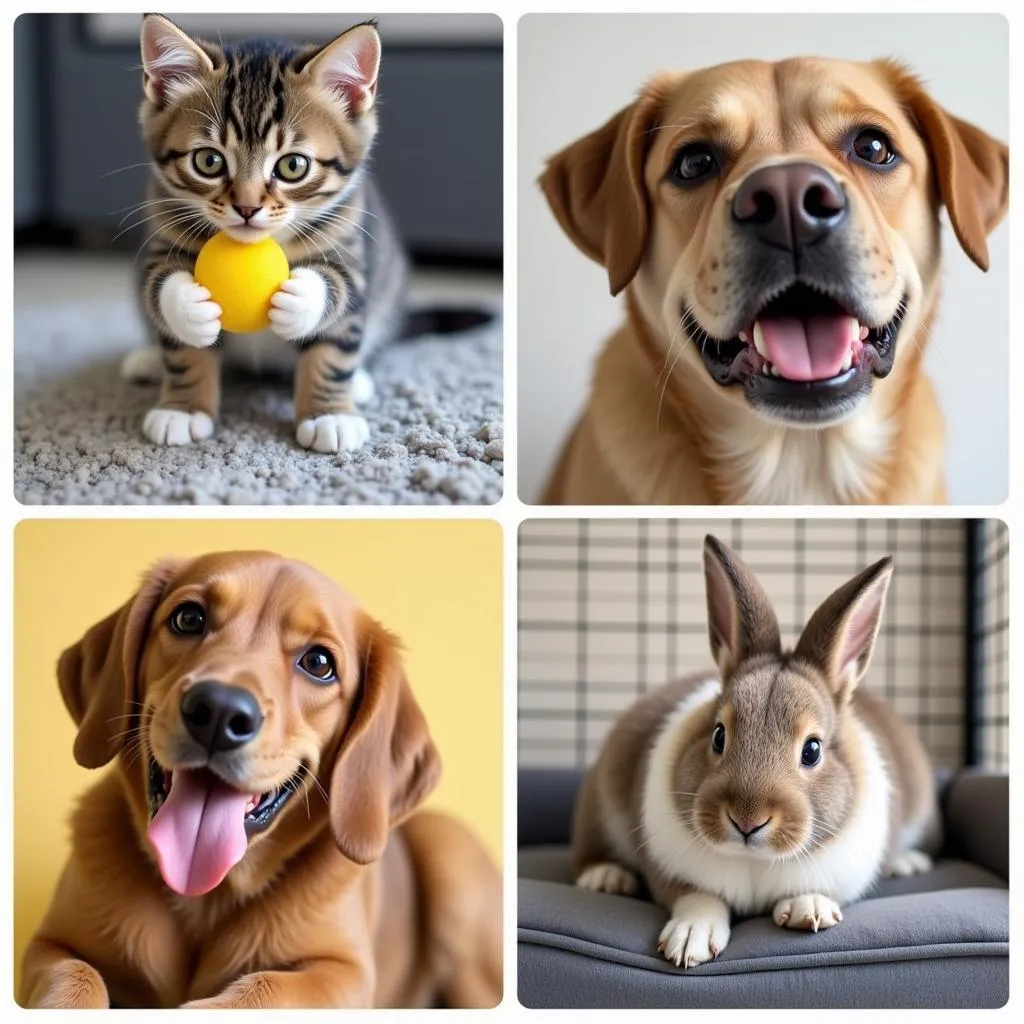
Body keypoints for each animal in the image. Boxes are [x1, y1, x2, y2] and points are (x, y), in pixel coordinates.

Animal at [22, 552, 501, 1007]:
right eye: (188, 618)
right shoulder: (48, 945)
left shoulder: (342, 973)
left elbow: (264, 990)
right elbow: (76, 974)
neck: (205, 896)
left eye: (319, 663)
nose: (218, 712)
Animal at [130, 12, 409, 452]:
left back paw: (359, 382)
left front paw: (330, 416)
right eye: (208, 161)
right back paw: (149, 361)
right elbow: (161, 294)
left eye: (293, 166)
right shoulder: (161, 227)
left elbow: (338, 309)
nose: (247, 208)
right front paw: (183, 408)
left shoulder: (350, 240)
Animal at [573, 536, 937, 966]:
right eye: (718, 735)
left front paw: (809, 910)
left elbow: (814, 891)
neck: (755, 860)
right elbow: (699, 897)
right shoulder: (672, 873)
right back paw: (606, 878)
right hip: (599, 805)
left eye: (812, 750)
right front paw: (690, 939)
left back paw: (908, 862)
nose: (747, 820)